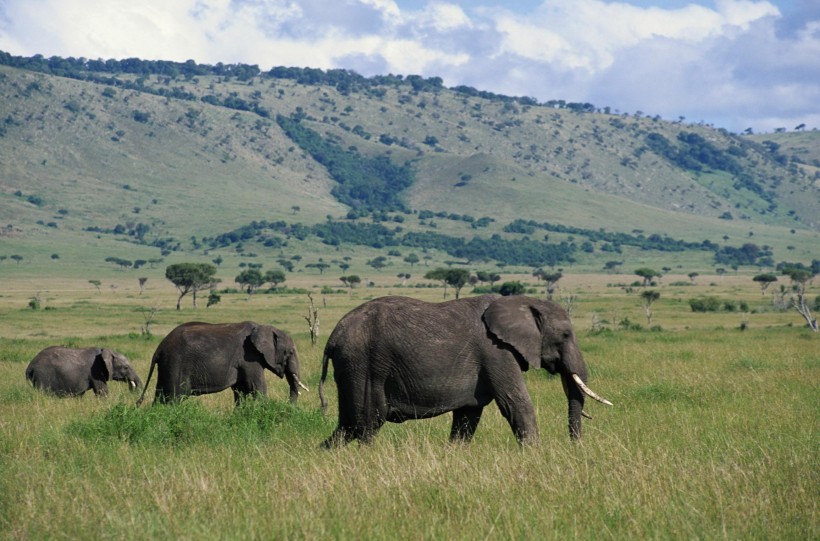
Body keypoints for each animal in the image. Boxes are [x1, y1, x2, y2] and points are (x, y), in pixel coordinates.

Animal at [138, 320, 308, 404]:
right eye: (290, 352)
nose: (288, 407)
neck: (262, 327)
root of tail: (159, 348)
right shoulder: (249, 357)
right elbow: (257, 387)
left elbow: (241, 391)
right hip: (175, 364)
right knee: (173, 398)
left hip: (167, 366)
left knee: (160, 397)